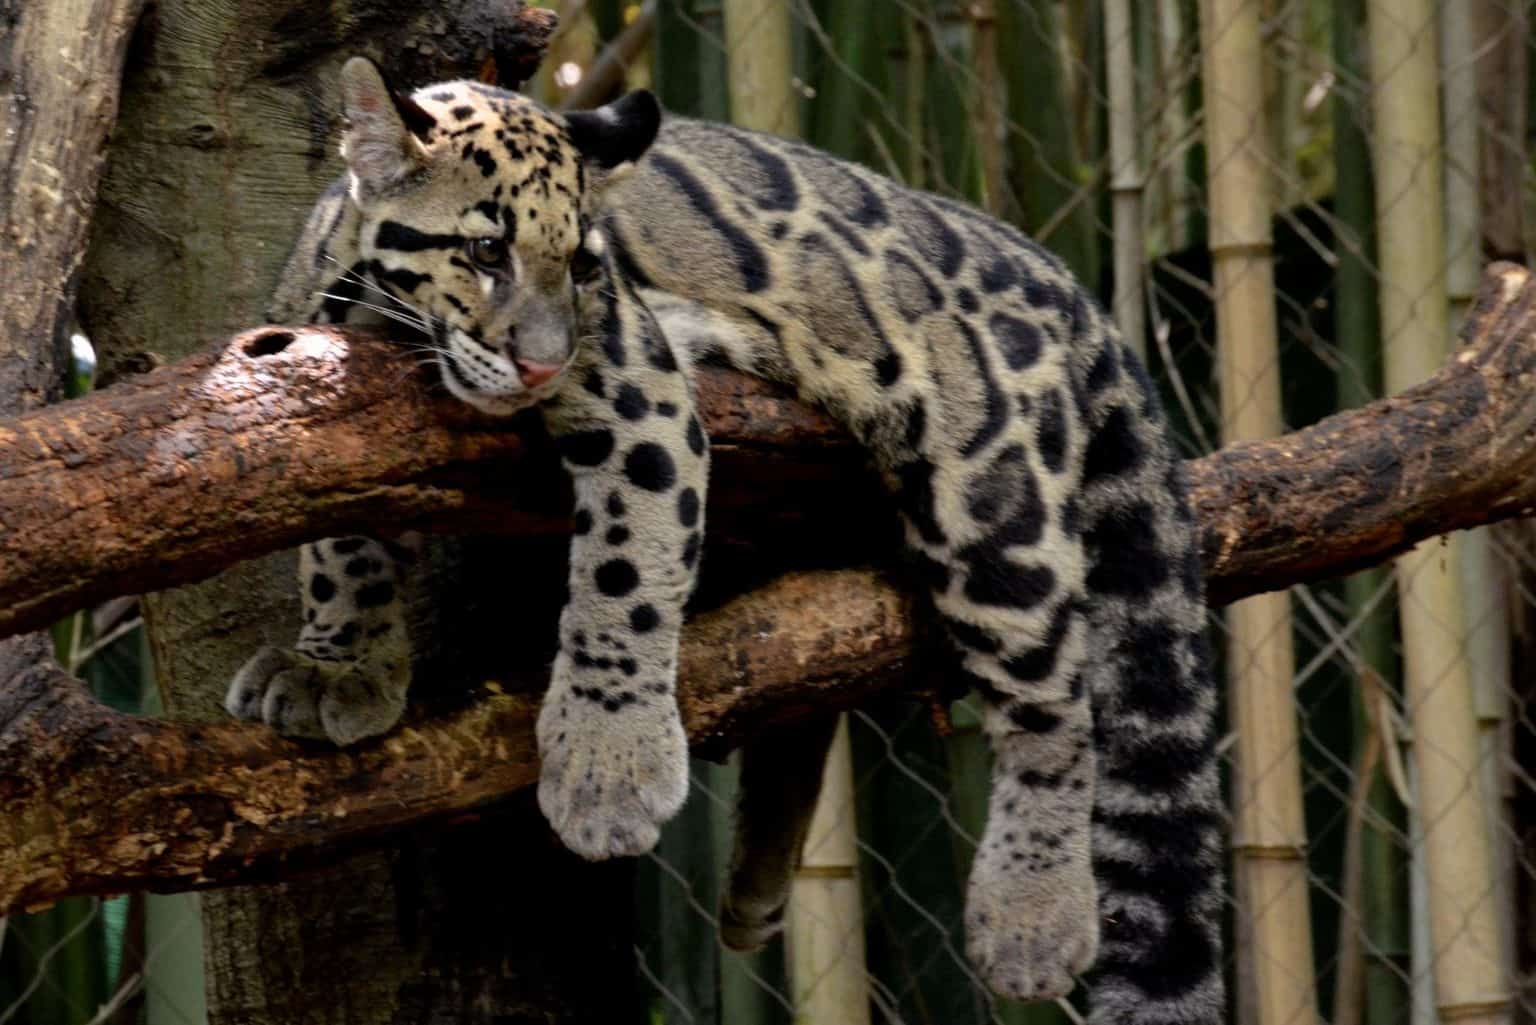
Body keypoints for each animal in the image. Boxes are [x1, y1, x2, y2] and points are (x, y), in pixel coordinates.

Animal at [225, 56, 1224, 1025]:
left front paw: (608, 768)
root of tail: (1054, 271)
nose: (543, 362)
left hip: (990, 496)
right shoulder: (326, 393)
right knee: (808, 671)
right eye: (484, 250)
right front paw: (340, 664)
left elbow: (624, 577)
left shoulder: (640, 393)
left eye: (583, 267)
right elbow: (340, 540)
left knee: (1054, 705)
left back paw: (1034, 915)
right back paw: (759, 885)